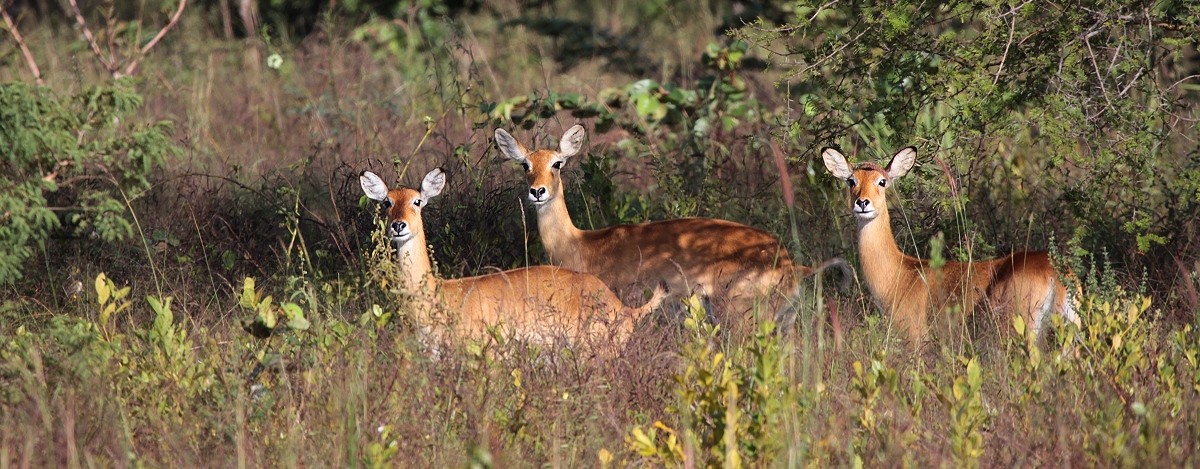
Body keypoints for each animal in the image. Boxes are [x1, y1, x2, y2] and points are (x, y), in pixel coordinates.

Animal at [820, 145, 1084, 343]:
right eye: (851, 181)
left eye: (882, 181)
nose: (862, 202)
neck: (900, 274)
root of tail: (1053, 272)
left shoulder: (915, 337)